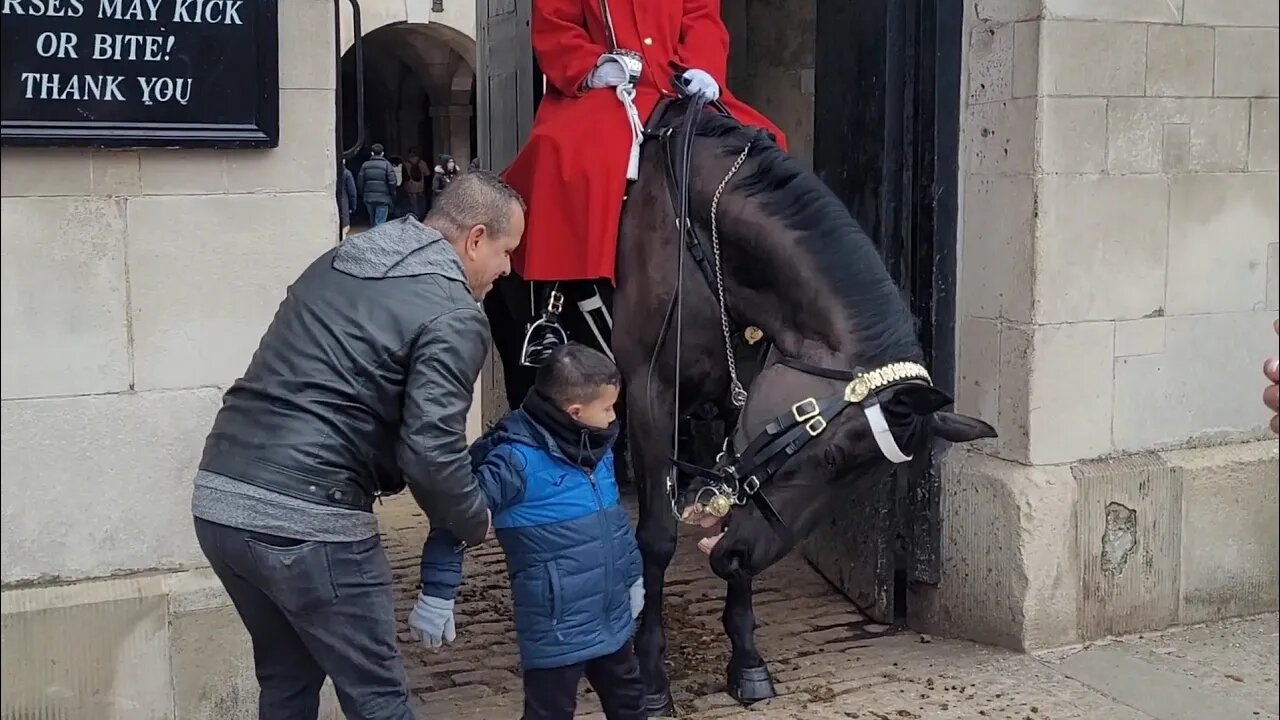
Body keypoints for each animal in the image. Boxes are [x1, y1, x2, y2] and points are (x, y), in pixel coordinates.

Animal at [483, 99, 993, 712]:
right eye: (832, 458)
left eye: (864, 481)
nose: (740, 557)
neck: (706, 248)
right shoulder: (652, 397)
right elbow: (657, 535)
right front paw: (651, 677)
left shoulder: (736, 401)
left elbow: (731, 498)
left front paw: (747, 658)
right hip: (525, 364)